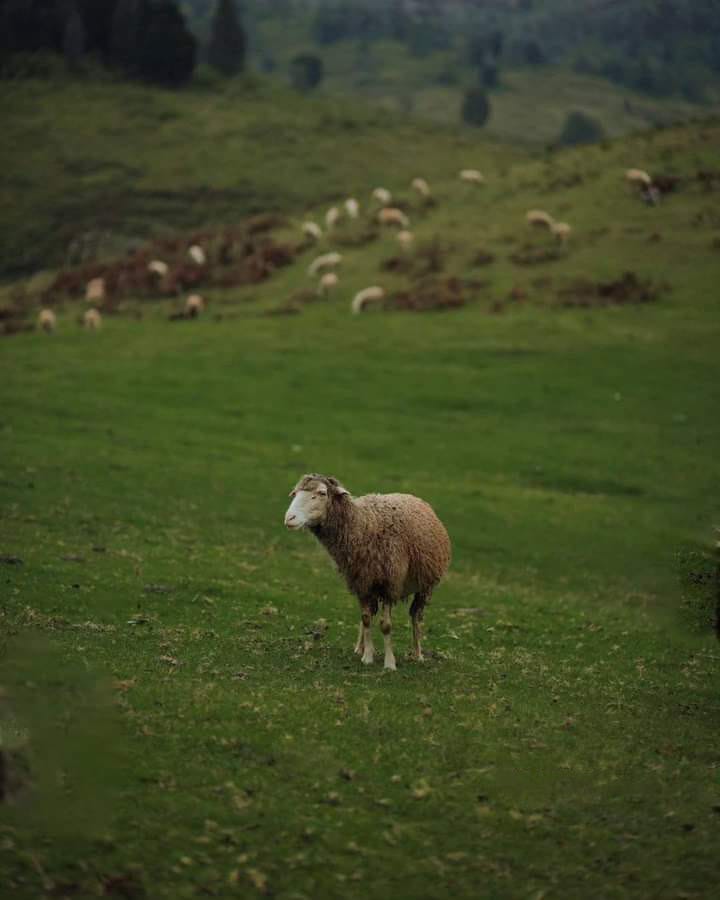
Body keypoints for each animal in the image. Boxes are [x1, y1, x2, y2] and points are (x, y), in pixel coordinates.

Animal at [282, 474, 448, 672]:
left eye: (322, 493)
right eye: (295, 493)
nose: (289, 518)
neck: (362, 526)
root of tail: (411, 496)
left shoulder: (389, 584)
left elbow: (386, 625)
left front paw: (389, 663)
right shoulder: (361, 582)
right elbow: (366, 619)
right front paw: (367, 656)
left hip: (425, 586)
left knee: (416, 616)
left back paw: (418, 654)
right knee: (369, 616)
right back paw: (359, 648)